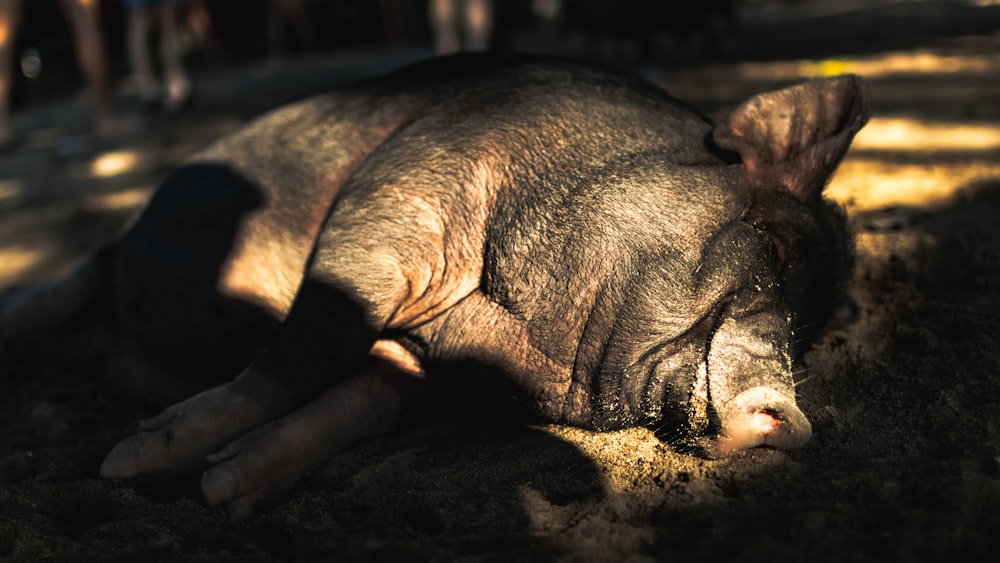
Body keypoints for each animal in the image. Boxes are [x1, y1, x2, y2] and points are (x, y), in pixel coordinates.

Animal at [0, 53, 868, 520]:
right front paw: (133, 461)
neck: (530, 342)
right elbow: (307, 350)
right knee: (82, 270)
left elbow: (358, 401)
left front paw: (225, 486)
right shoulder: (398, 204)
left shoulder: (422, 367)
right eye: (773, 243)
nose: (794, 420)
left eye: (808, 332)